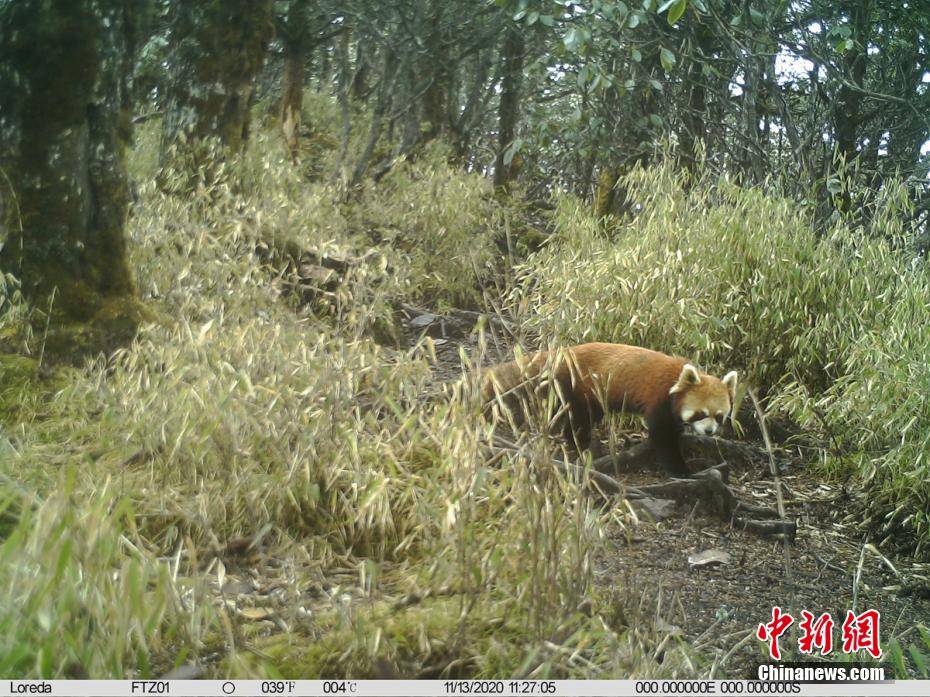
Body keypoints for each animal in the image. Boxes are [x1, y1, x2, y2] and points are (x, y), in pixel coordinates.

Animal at [482, 342, 736, 476]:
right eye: (701, 414)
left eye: (719, 417)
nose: (710, 431)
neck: (676, 381)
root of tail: (562, 353)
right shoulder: (658, 399)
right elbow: (662, 438)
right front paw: (681, 470)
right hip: (574, 385)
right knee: (578, 420)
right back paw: (582, 445)